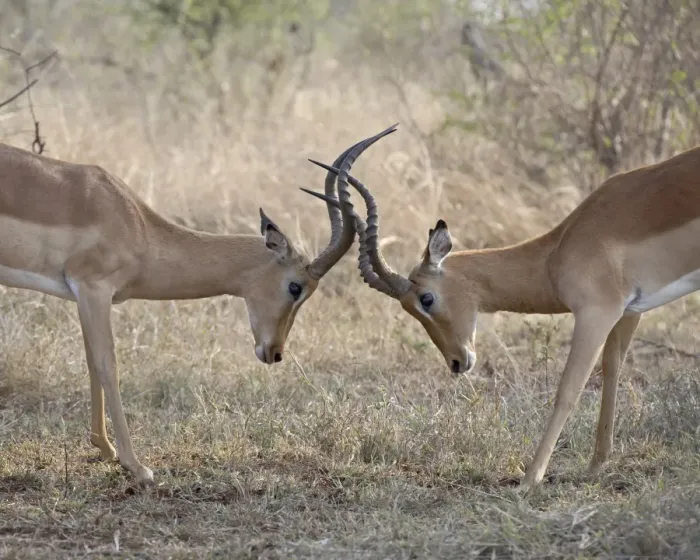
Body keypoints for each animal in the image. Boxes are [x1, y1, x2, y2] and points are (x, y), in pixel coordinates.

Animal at [0, 129, 387, 486]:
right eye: (296, 287)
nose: (275, 352)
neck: (136, 225)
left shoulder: (84, 297)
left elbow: (92, 363)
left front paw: (105, 448)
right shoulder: (94, 290)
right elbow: (109, 366)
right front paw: (137, 467)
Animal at [304, 124, 700, 492]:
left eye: (426, 299)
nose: (457, 362)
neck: (556, 253)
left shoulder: (596, 313)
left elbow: (567, 391)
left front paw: (529, 480)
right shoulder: (630, 311)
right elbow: (613, 371)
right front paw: (595, 467)